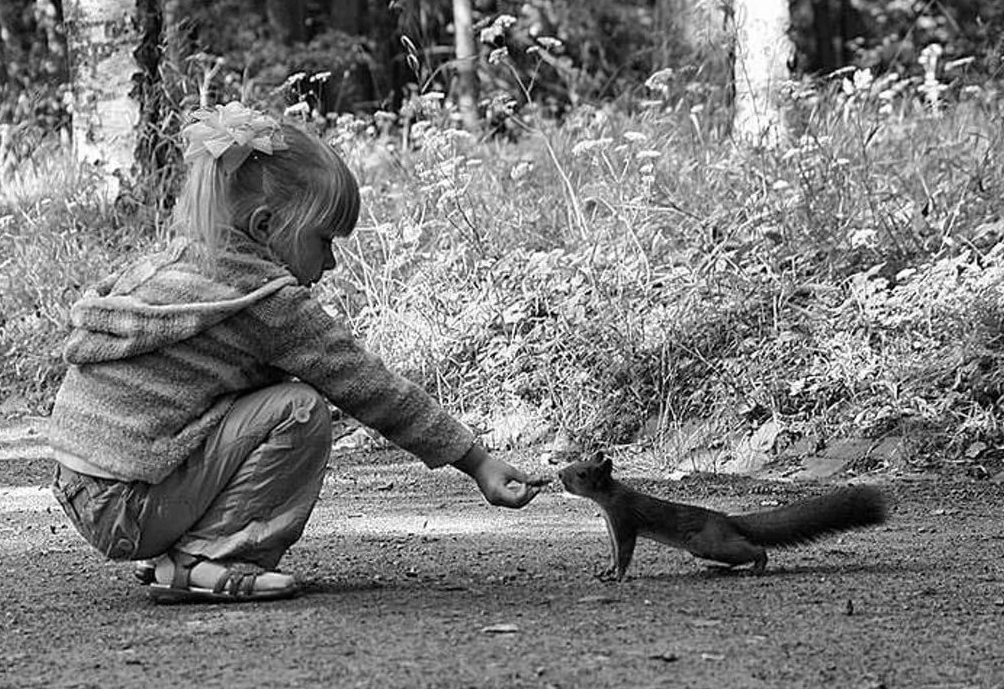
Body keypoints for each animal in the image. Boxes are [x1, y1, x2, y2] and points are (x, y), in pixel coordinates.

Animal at [562, 455, 891, 578]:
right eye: (576, 462)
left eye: (582, 473)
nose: (559, 475)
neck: (608, 499)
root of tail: (729, 519)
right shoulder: (610, 525)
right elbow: (614, 552)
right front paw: (605, 571)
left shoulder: (624, 520)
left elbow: (625, 553)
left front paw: (617, 576)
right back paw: (718, 569)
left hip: (706, 542)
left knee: (756, 549)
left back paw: (757, 567)